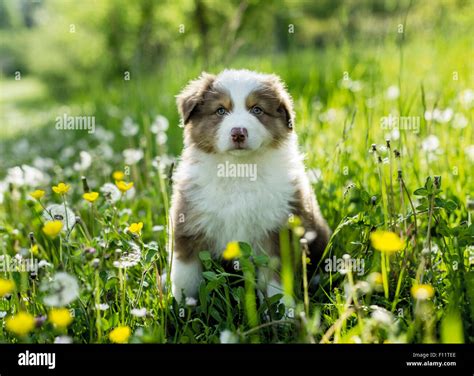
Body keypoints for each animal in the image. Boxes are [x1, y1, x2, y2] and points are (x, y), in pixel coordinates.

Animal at [170, 68, 330, 302]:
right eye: (220, 110)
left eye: (257, 110)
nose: (238, 132)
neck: (240, 170)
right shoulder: (189, 225)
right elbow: (185, 277)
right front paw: (180, 307)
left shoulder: (277, 232)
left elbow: (276, 281)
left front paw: (285, 310)